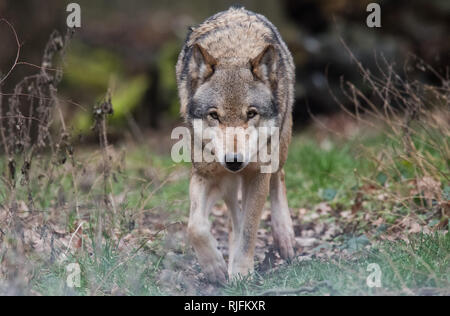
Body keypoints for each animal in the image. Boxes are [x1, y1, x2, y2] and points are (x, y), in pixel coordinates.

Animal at [175, 6, 296, 282]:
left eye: (251, 113)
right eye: (214, 115)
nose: (234, 161)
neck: (233, 53)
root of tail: (237, 9)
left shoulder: (257, 175)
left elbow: (250, 229)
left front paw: (241, 272)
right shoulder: (205, 174)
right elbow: (195, 227)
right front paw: (215, 268)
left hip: (280, 147)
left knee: (279, 177)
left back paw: (284, 236)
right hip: (227, 181)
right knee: (232, 214)